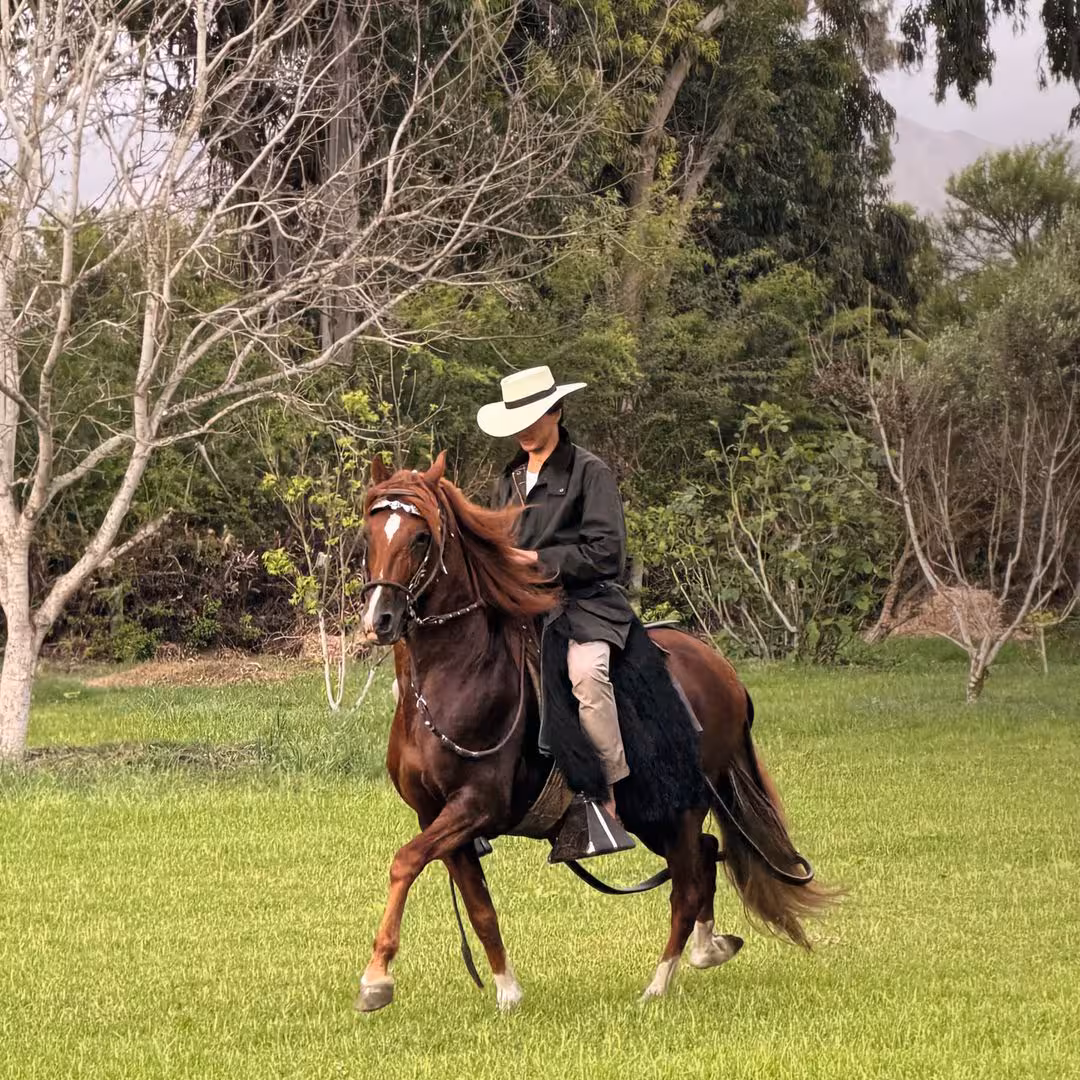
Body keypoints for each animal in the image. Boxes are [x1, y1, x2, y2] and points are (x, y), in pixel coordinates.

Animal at [356, 453, 834, 1012]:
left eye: (420, 537)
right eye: (369, 536)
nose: (381, 619)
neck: (458, 676)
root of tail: (724, 672)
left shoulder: (475, 805)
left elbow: (404, 862)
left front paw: (376, 978)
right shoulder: (437, 816)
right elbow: (479, 907)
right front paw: (508, 993)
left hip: (679, 804)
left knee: (688, 883)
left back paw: (658, 983)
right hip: (650, 811)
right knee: (706, 854)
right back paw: (708, 947)